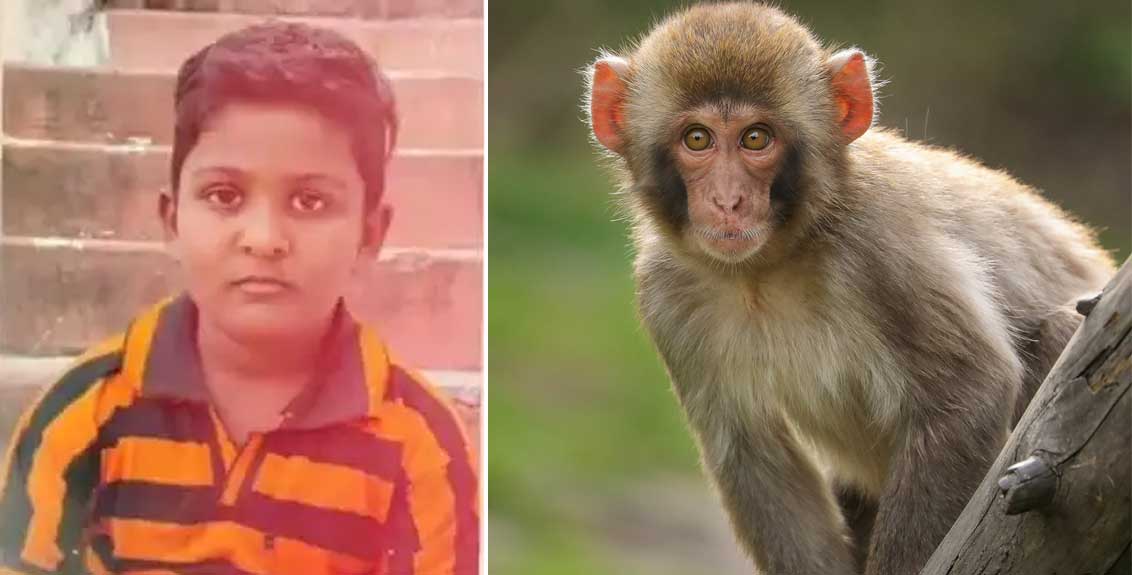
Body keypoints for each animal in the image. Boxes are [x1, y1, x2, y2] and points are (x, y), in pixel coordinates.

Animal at [583, 3, 1116, 574]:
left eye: (756, 138)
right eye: (698, 139)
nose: (727, 201)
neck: (766, 268)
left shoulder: (882, 247)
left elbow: (967, 393)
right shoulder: (667, 294)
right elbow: (751, 454)